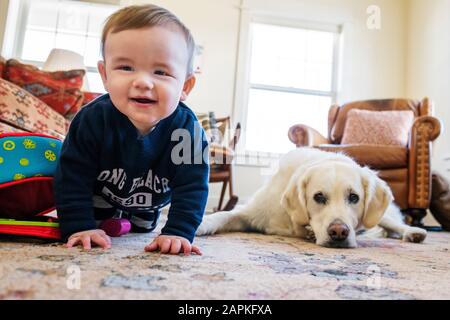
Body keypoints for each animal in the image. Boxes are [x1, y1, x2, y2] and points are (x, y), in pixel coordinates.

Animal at [197, 148, 426, 248]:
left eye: (354, 197)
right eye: (318, 197)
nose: (339, 232)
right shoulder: (251, 212)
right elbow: (222, 215)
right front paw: (201, 223)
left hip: (381, 217)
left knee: (394, 225)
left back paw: (413, 232)